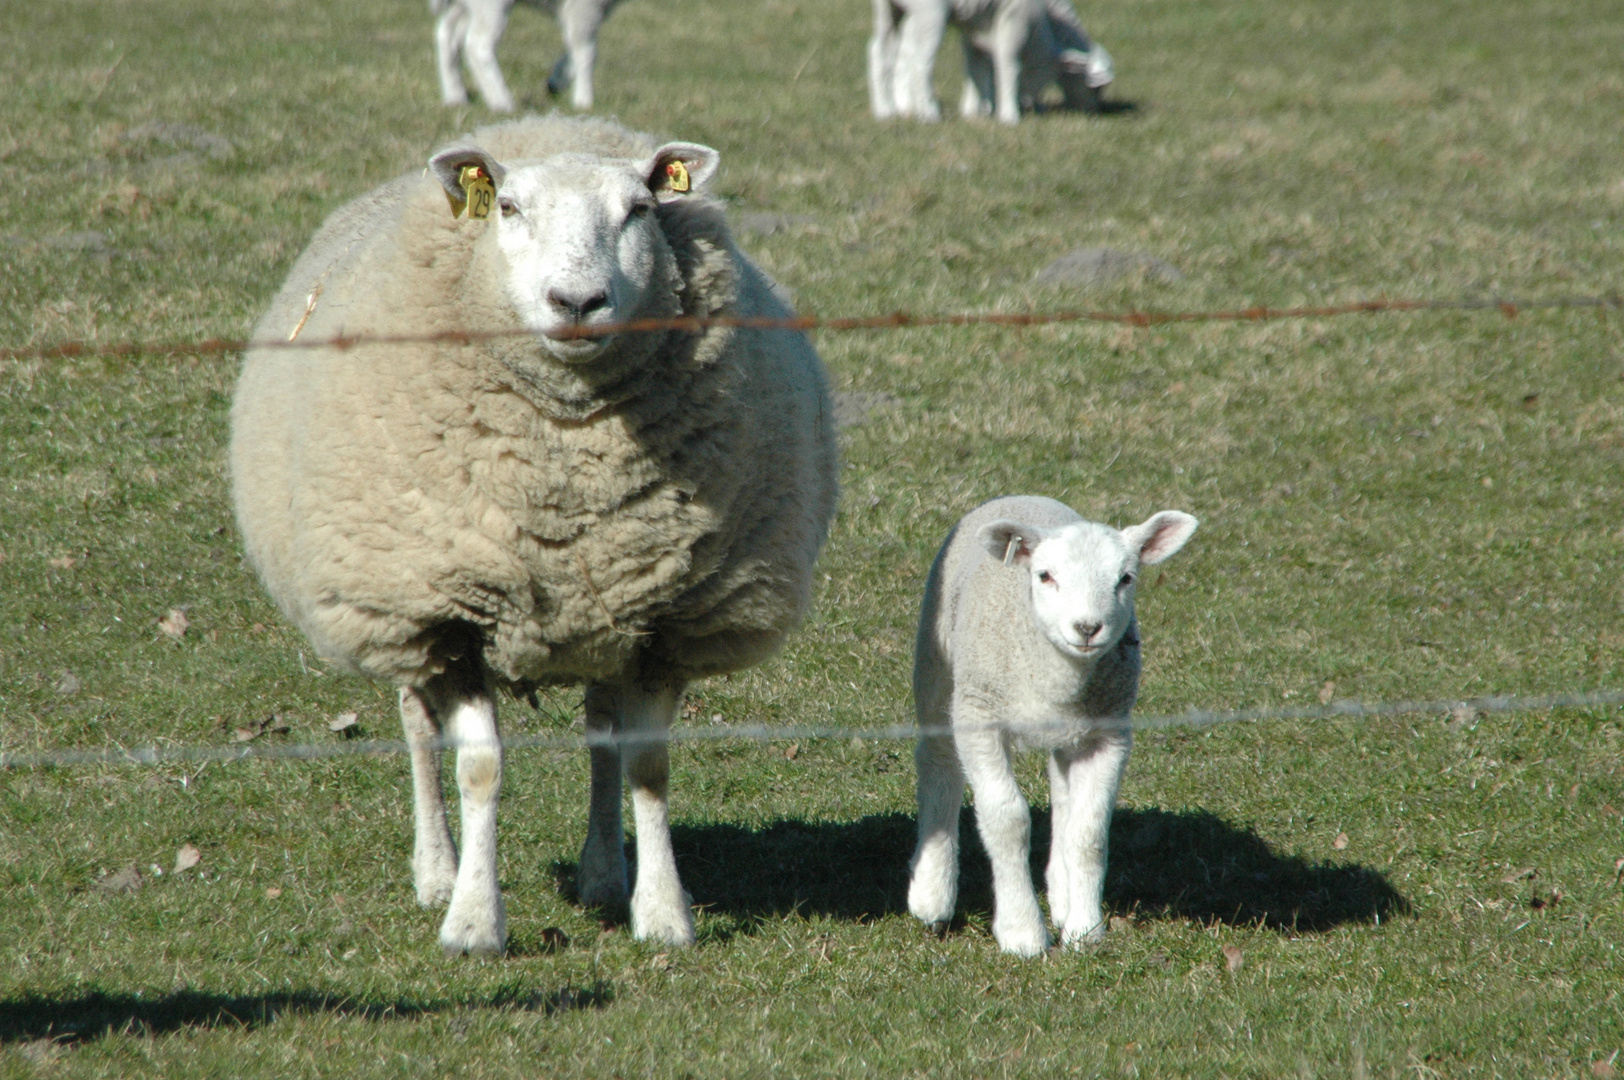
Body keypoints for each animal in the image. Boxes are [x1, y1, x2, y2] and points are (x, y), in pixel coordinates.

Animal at [235, 113, 844, 948]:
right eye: (509, 208)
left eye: (640, 210)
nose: (577, 301)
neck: (567, 464)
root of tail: (544, 123)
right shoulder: (449, 613)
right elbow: (479, 767)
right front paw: (471, 921)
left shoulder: (663, 619)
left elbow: (646, 765)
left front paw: (663, 913)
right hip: (395, 601)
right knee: (418, 727)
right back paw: (435, 870)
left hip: (601, 614)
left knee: (600, 731)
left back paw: (602, 874)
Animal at [435, 0, 623, 111]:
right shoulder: (585, 7)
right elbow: (586, 52)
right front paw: (583, 100)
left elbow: (574, 49)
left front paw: (557, 80)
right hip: (490, 5)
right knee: (477, 45)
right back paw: (502, 102)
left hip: (464, 7)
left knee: (447, 36)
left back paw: (455, 97)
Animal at [863, 0, 1117, 125]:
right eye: (1095, 88)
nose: (1094, 112)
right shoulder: (1013, 21)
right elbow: (1008, 66)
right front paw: (1008, 116)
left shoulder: (976, 29)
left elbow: (977, 68)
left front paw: (976, 111)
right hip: (930, 12)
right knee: (919, 59)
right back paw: (927, 113)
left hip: (887, 9)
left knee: (879, 50)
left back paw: (884, 110)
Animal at [909, 493, 1201, 954]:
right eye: (1044, 576)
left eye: (1126, 578)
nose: (1087, 627)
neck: (1056, 674)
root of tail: (1023, 495)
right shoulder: (980, 718)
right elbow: (1007, 819)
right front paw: (1021, 932)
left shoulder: (1108, 734)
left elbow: (1088, 830)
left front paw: (1085, 928)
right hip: (938, 666)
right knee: (937, 762)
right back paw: (932, 894)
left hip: (1071, 733)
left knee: (1063, 798)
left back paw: (1063, 897)